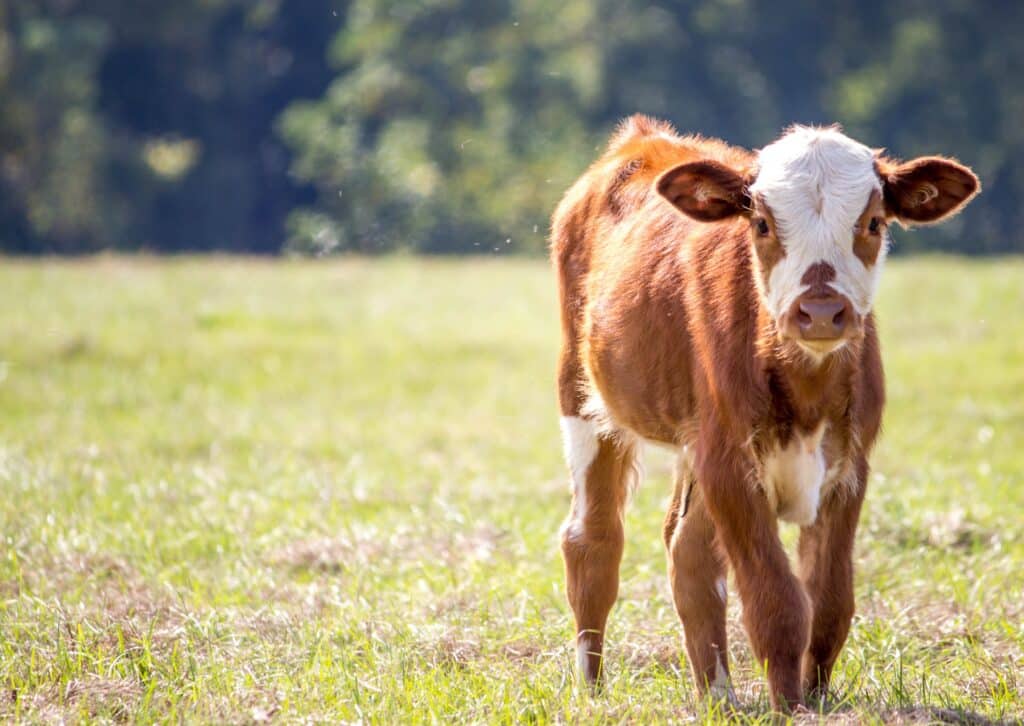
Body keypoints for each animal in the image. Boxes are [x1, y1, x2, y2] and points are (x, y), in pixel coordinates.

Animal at [548, 116, 978, 712]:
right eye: (761, 222)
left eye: (872, 221)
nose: (820, 311)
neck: (807, 387)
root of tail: (643, 139)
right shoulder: (729, 463)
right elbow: (776, 601)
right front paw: (791, 708)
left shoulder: (849, 465)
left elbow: (828, 600)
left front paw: (816, 699)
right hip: (583, 394)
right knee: (593, 541)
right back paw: (593, 690)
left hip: (694, 443)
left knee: (688, 551)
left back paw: (718, 696)